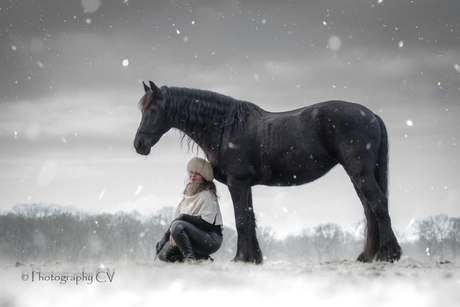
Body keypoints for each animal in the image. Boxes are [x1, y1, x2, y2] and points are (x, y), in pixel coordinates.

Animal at [135, 81, 400, 264]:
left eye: (154, 108)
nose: (139, 144)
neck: (225, 127)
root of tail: (371, 115)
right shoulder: (245, 185)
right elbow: (250, 219)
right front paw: (254, 258)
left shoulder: (237, 182)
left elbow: (241, 220)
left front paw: (240, 258)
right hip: (359, 176)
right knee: (369, 210)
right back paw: (368, 255)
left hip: (360, 174)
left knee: (378, 204)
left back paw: (388, 254)